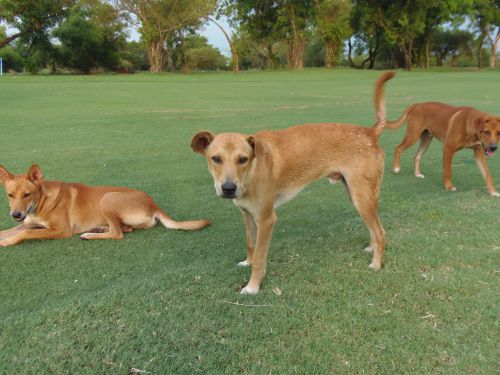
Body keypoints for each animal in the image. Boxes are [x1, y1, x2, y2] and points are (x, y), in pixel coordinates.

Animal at [0, 164, 209, 247]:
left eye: (27, 194)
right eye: (10, 195)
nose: (15, 214)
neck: (41, 200)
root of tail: (153, 204)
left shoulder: (60, 230)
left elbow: (27, 233)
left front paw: (9, 241)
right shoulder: (28, 222)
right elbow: (11, 230)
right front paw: (6, 236)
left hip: (107, 199)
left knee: (118, 233)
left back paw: (90, 234)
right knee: (126, 228)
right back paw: (98, 228)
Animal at [190, 70, 394, 294]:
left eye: (242, 159)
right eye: (215, 158)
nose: (228, 188)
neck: (252, 172)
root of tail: (370, 132)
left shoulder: (267, 220)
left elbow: (260, 257)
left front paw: (253, 286)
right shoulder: (248, 215)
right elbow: (250, 244)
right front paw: (247, 262)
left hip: (361, 198)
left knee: (380, 231)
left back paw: (376, 263)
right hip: (357, 195)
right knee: (375, 228)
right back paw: (372, 248)